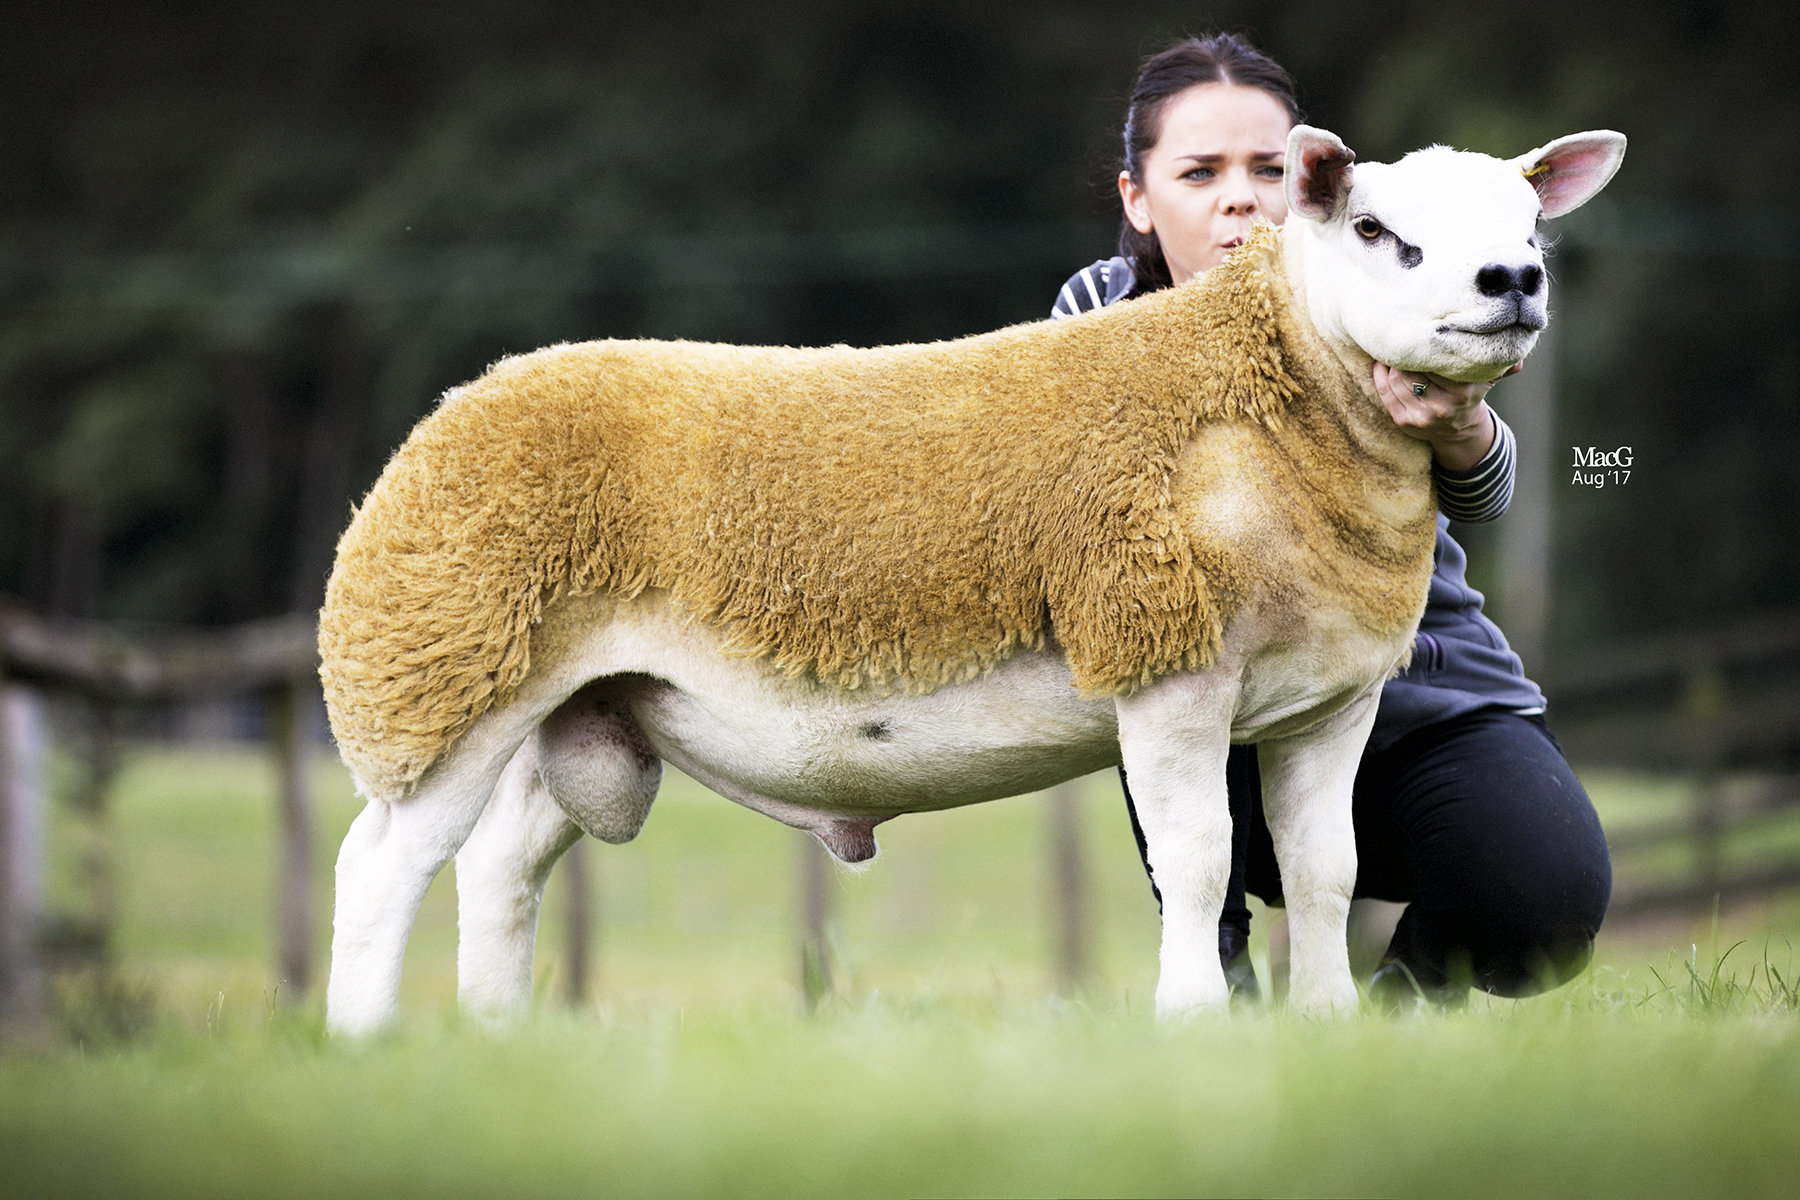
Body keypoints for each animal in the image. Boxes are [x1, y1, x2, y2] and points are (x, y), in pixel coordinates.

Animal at [320, 126, 1634, 1036]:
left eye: (1530, 218)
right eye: (1374, 229)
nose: (1512, 281)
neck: (1274, 405)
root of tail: (454, 408)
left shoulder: (1333, 698)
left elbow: (1326, 872)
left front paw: (1324, 1026)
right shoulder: (1166, 658)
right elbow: (1201, 860)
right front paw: (1194, 1025)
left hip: (579, 704)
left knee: (497, 868)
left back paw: (500, 1038)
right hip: (443, 670)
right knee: (381, 867)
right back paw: (366, 1044)